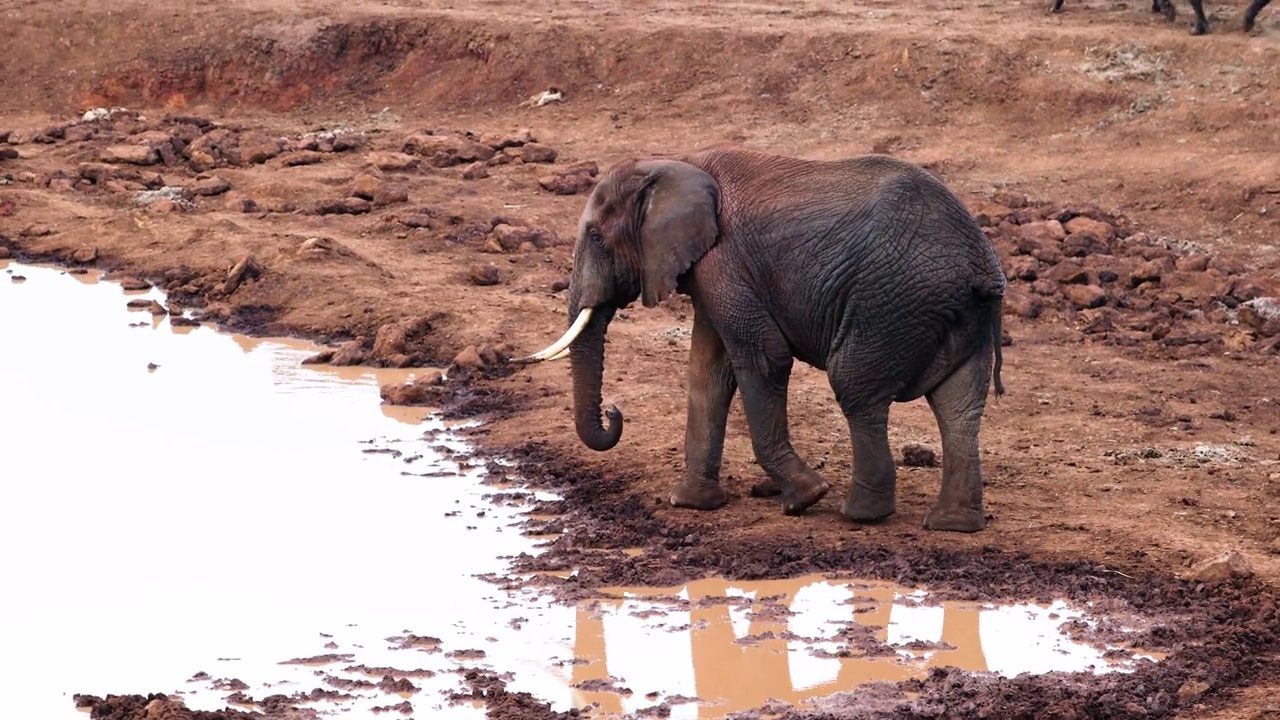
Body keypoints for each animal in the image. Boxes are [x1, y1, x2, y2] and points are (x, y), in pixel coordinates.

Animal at [514, 144, 1003, 532]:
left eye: (598, 238)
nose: (615, 412)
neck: (676, 161)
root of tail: (979, 269)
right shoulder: (710, 269)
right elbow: (707, 372)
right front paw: (692, 504)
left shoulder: (724, 260)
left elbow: (763, 359)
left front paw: (805, 497)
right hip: (949, 314)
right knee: (959, 406)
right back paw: (953, 525)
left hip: (889, 301)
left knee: (856, 387)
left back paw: (860, 514)